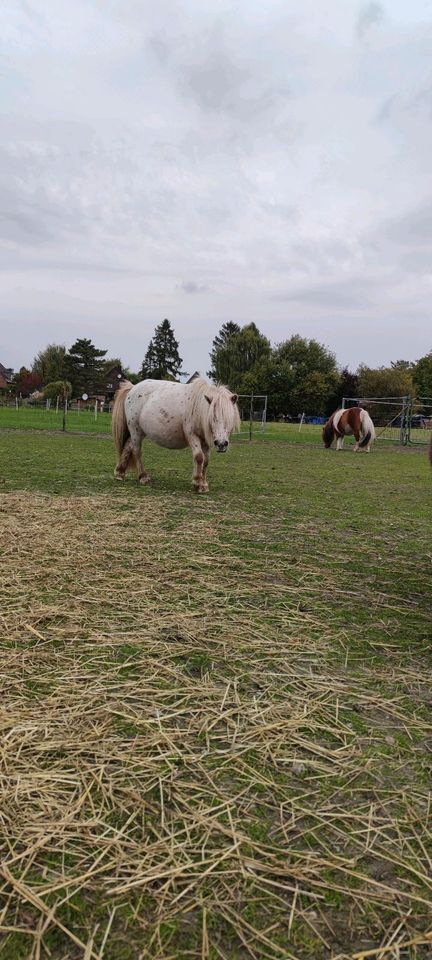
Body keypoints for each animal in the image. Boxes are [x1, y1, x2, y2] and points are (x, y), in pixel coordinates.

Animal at [111, 376, 240, 496]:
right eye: (213, 417)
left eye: (230, 418)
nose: (221, 444)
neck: (199, 408)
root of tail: (133, 388)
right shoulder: (192, 436)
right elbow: (199, 457)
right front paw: (198, 483)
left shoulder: (205, 441)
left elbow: (206, 460)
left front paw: (203, 483)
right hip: (135, 430)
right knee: (136, 451)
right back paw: (143, 477)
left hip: (139, 432)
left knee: (128, 446)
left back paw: (119, 473)